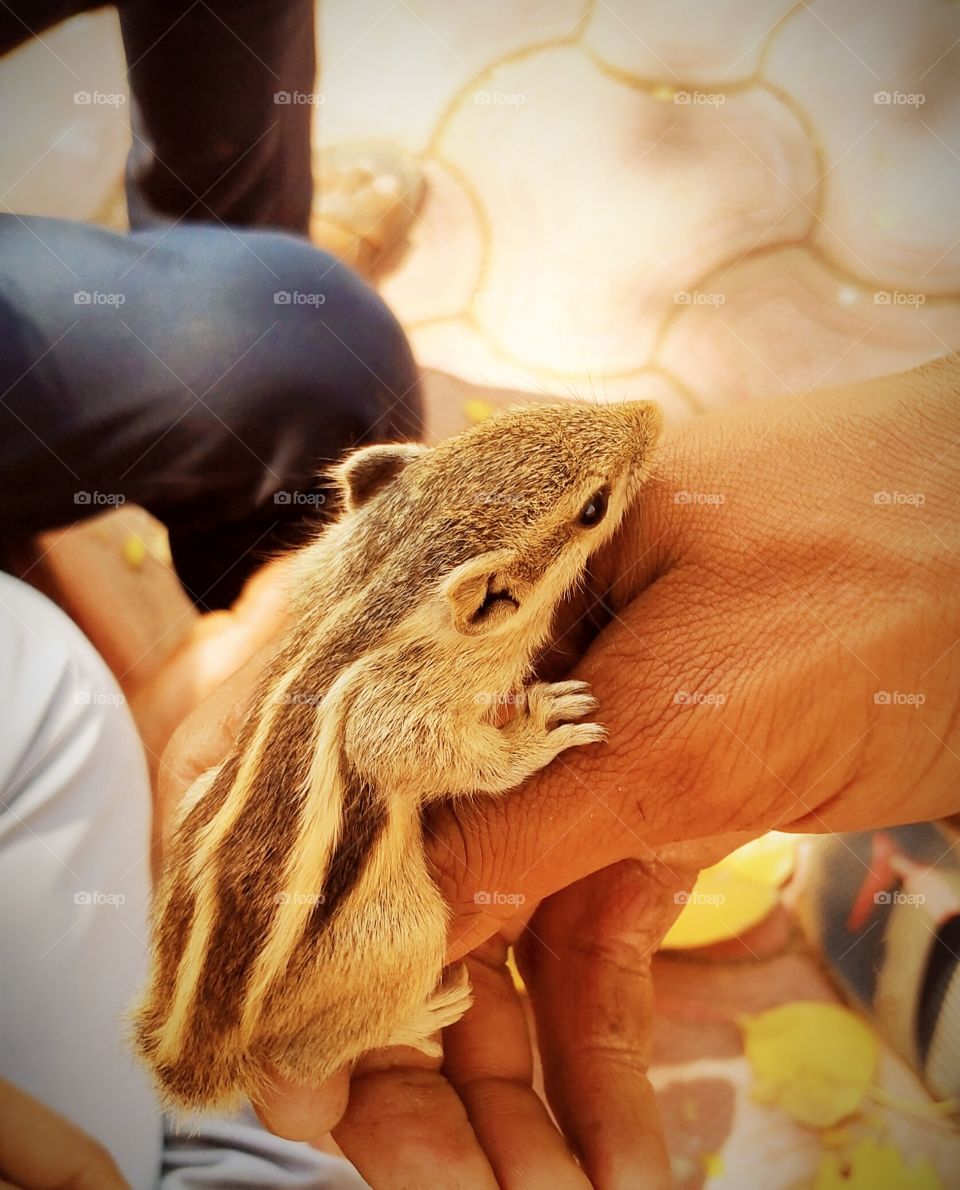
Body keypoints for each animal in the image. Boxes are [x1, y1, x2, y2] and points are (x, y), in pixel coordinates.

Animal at [132, 398, 663, 1113]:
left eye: (525, 413)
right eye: (593, 507)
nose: (652, 412)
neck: (387, 581)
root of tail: (196, 1044)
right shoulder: (396, 700)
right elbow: (415, 746)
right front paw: (536, 730)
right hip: (405, 932)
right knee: (300, 1060)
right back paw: (418, 1018)